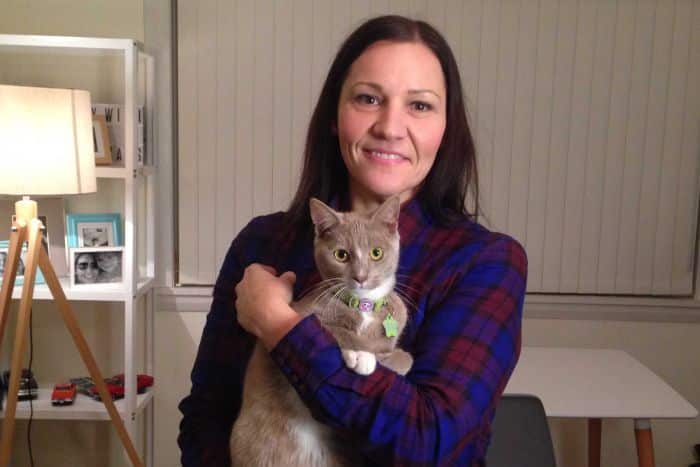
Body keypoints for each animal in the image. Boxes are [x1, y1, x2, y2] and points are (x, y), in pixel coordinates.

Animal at [230, 196, 413, 467]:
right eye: (341, 254)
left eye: (376, 253)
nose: (361, 277)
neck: (363, 306)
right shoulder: (302, 312)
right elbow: (330, 328)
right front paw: (360, 354)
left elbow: (402, 357)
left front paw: (383, 354)